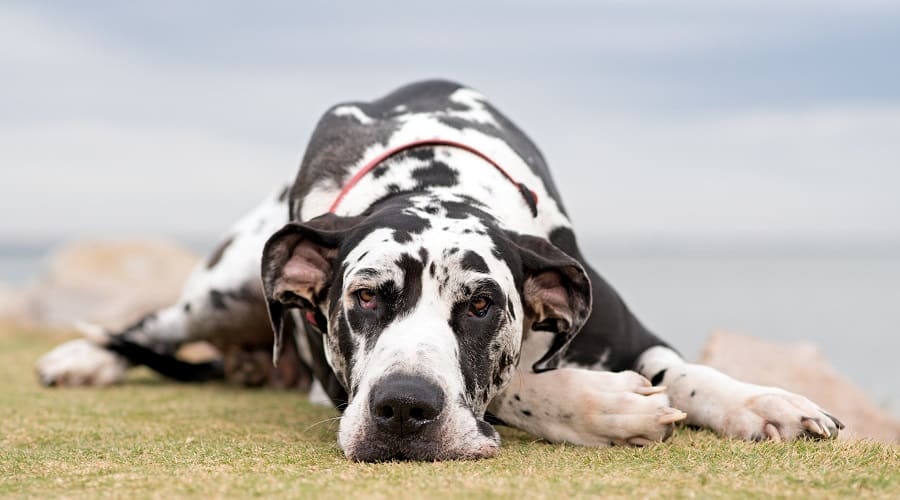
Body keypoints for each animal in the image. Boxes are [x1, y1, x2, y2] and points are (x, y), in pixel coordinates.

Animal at [37, 79, 844, 460]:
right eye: (364, 298)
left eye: (483, 305)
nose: (403, 411)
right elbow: (515, 384)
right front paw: (599, 405)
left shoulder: (622, 323)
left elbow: (687, 372)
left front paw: (763, 402)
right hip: (226, 281)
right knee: (152, 324)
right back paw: (83, 358)